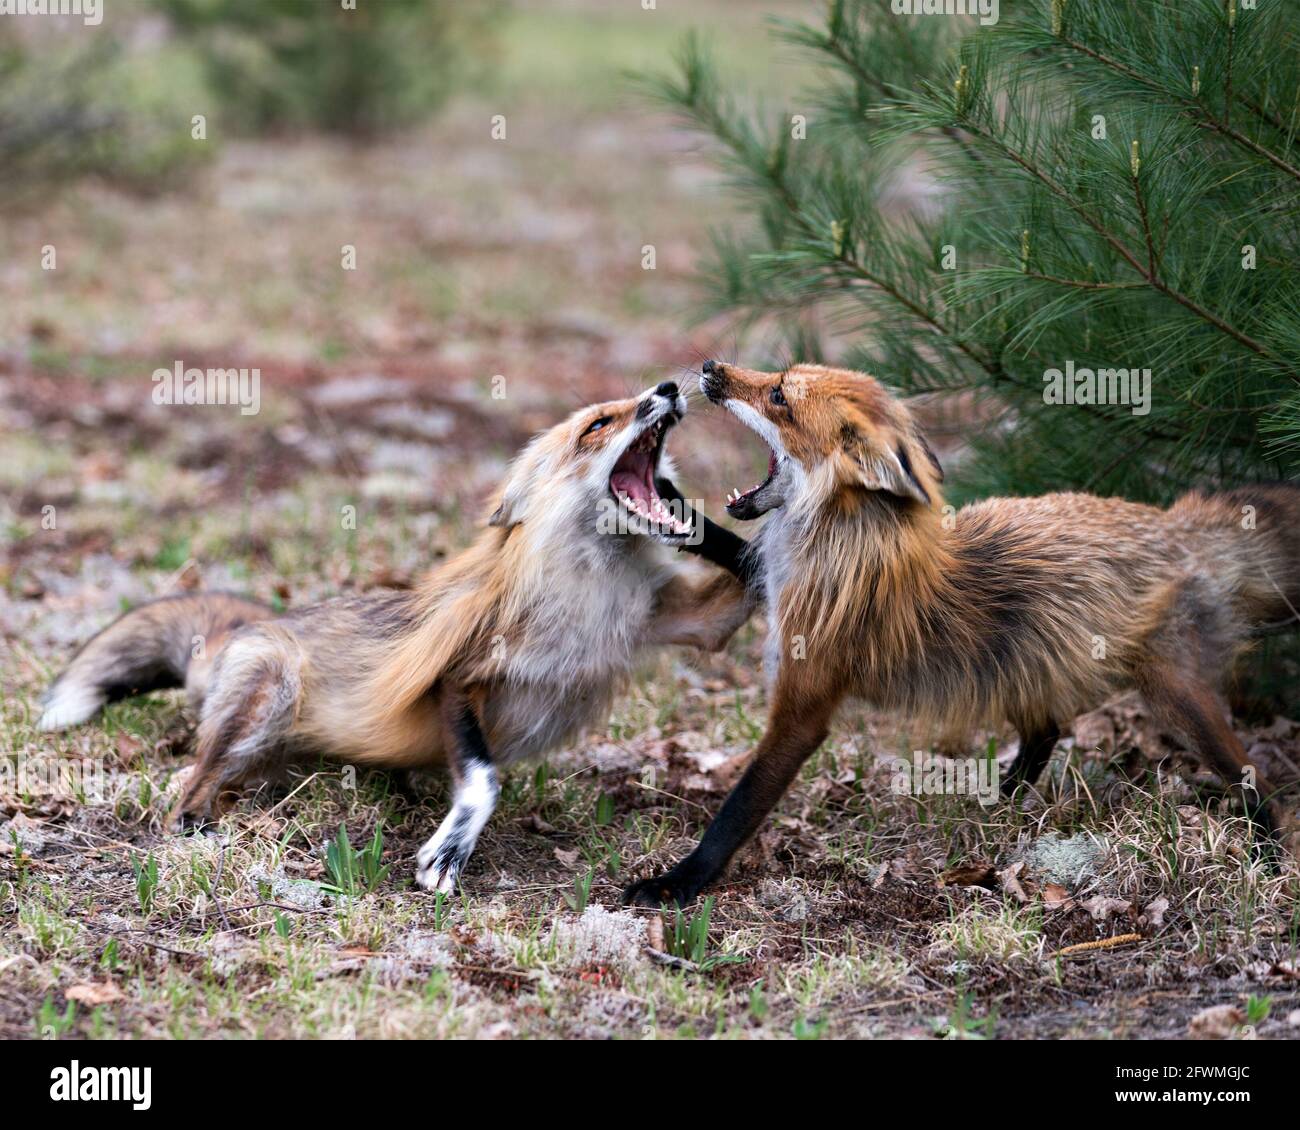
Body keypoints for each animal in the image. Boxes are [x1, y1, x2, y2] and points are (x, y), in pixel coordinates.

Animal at [40, 382, 759, 894]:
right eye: (597, 425)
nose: (669, 385)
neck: (592, 598)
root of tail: (246, 630)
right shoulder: (462, 675)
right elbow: (483, 781)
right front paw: (450, 849)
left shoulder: (689, 620)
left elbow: (751, 571)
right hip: (268, 691)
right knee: (193, 781)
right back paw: (195, 826)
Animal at [624, 361, 1294, 910]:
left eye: (779, 395)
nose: (710, 367)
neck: (843, 539)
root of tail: (1175, 521)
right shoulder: (768, 579)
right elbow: (728, 545)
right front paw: (662, 502)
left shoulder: (804, 704)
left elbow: (738, 809)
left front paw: (680, 883)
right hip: (1022, 661)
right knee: (1047, 729)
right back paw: (1003, 795)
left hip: (1175, 697)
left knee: (1257, 783)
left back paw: (1268, 852)